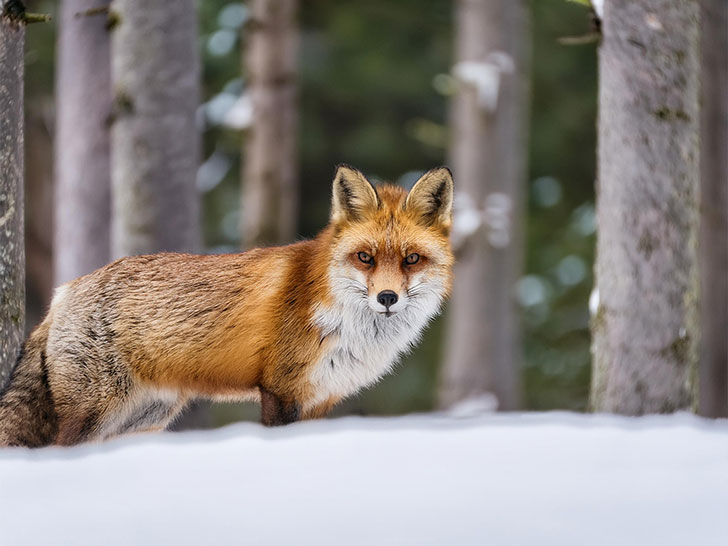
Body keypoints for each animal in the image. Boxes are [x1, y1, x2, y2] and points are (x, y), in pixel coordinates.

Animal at [0, 164, 456, 444]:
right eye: (365, 257)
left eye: (411, 259)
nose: (387, 298)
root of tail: (64, 290)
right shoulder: (281, 389)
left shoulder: (321, 397)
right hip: (93, 411)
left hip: (141, 418)